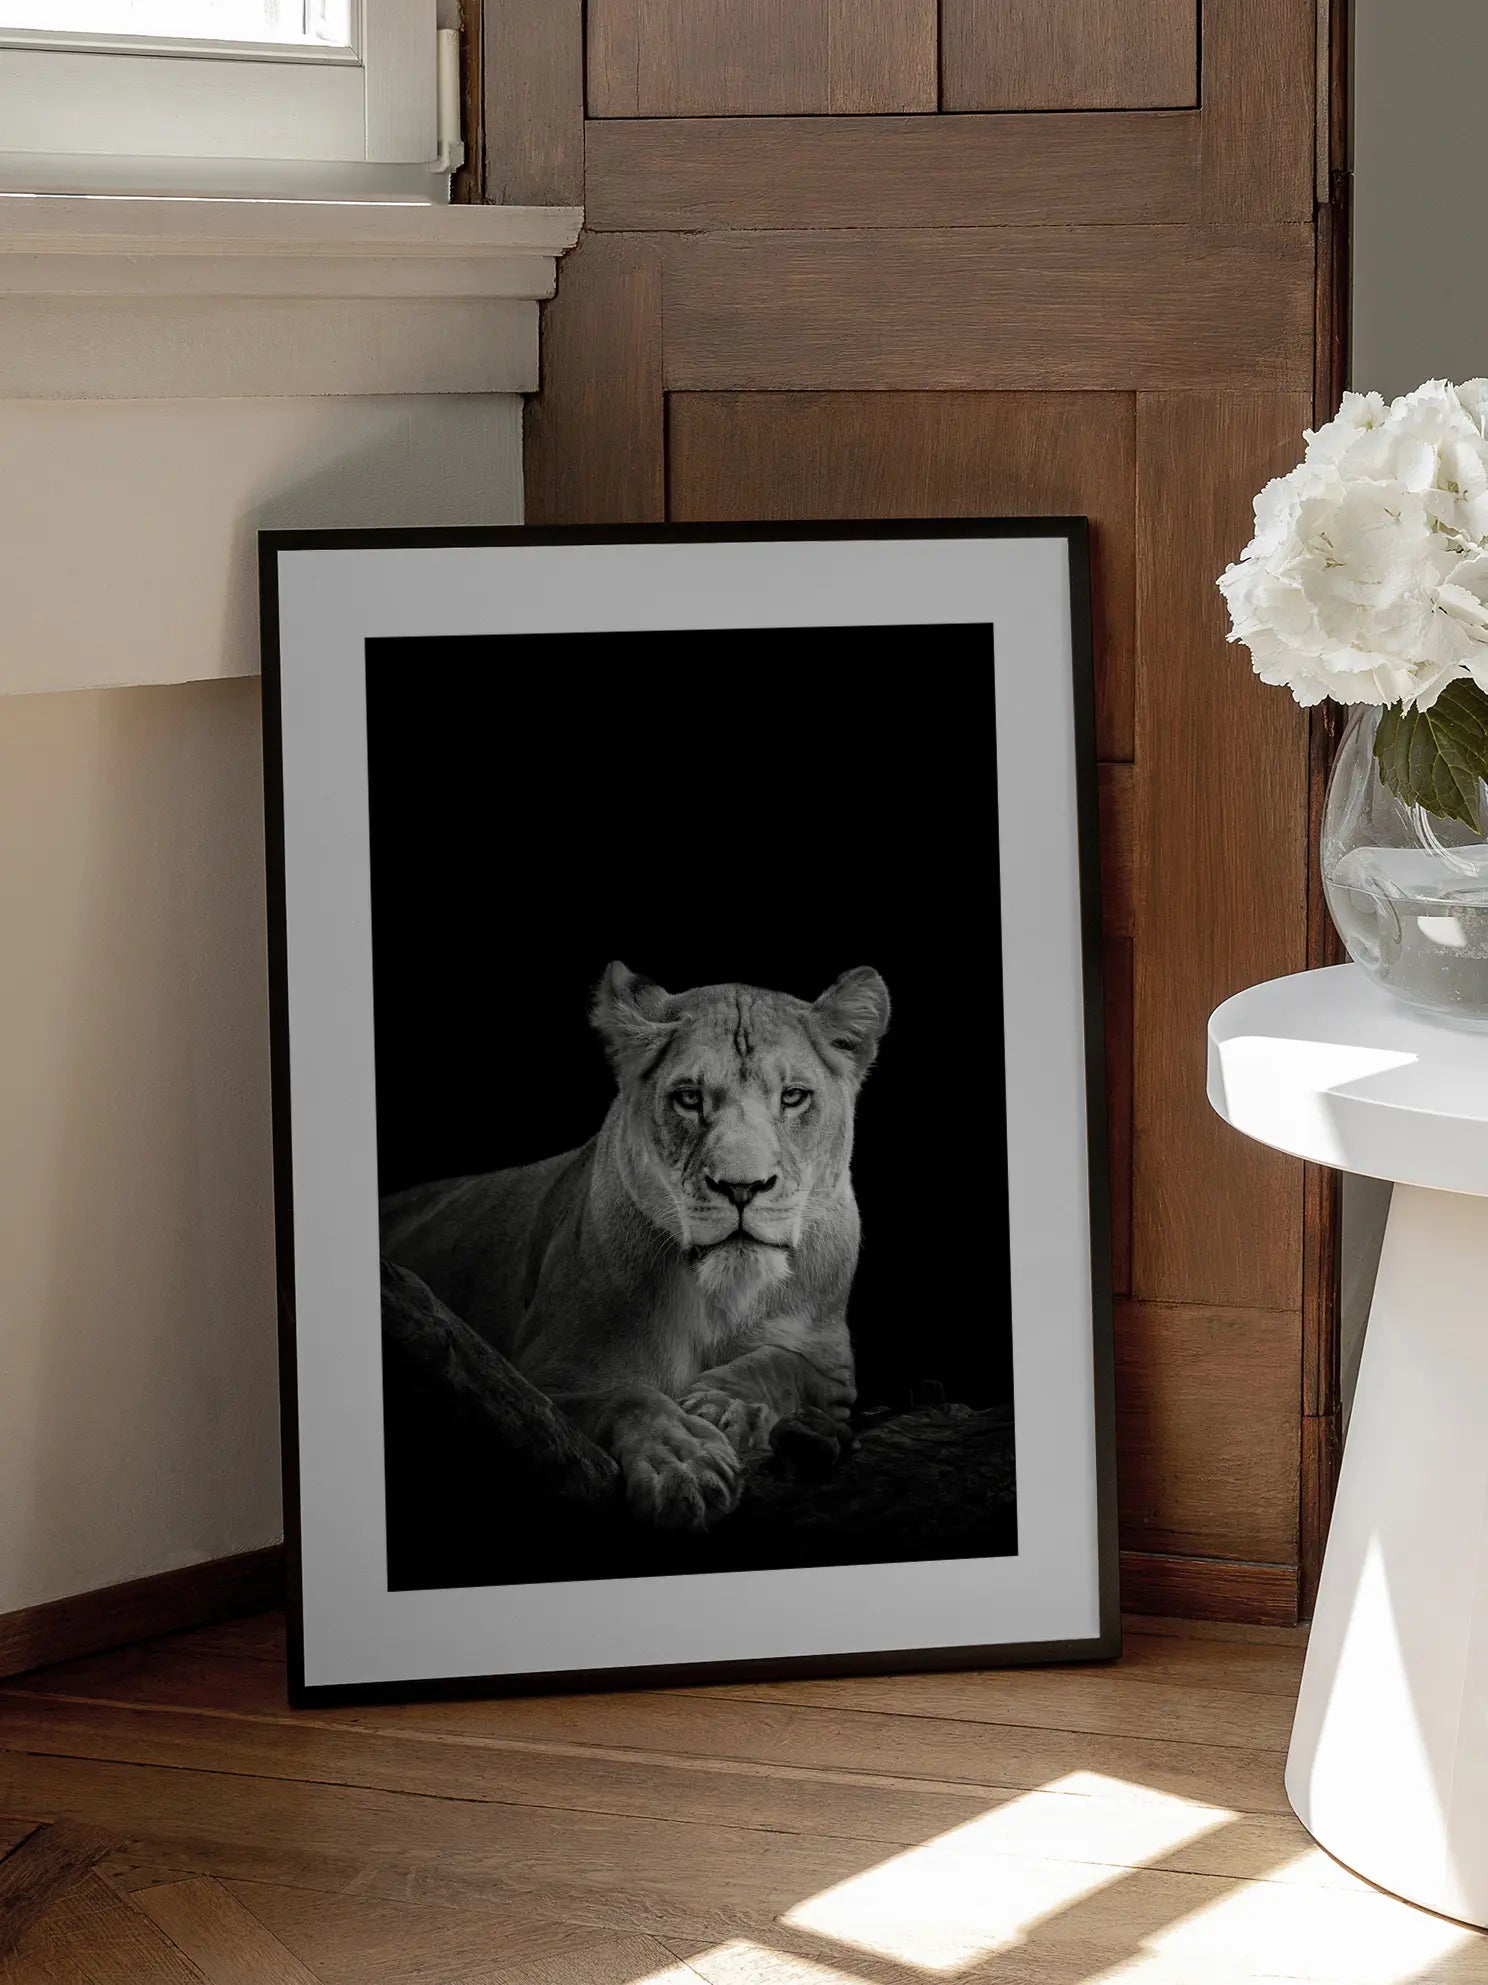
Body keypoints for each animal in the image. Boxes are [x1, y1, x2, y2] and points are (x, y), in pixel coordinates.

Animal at [379, 962, 890, 1532]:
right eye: (689, 1098)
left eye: (794, 1096)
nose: (741, 1187)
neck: (721, 1295)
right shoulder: (538, 1380)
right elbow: (629, 1395)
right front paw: (686, 1463)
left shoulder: (831, 1365)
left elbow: (780, 1366)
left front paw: (723, 1406)